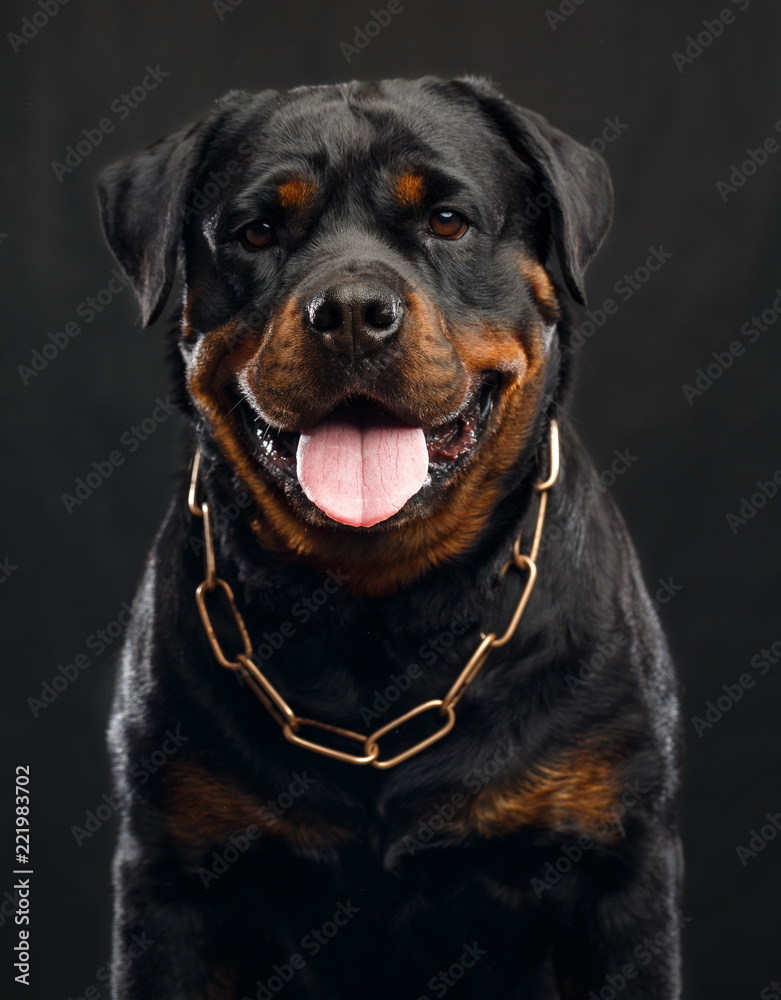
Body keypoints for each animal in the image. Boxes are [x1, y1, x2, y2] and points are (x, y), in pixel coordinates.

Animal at [97, 78, 684, 1000]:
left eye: (446, 220)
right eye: (256, 230)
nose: (348, 313)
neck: (377, 606)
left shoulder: (616, 871)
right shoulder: (171, 879)